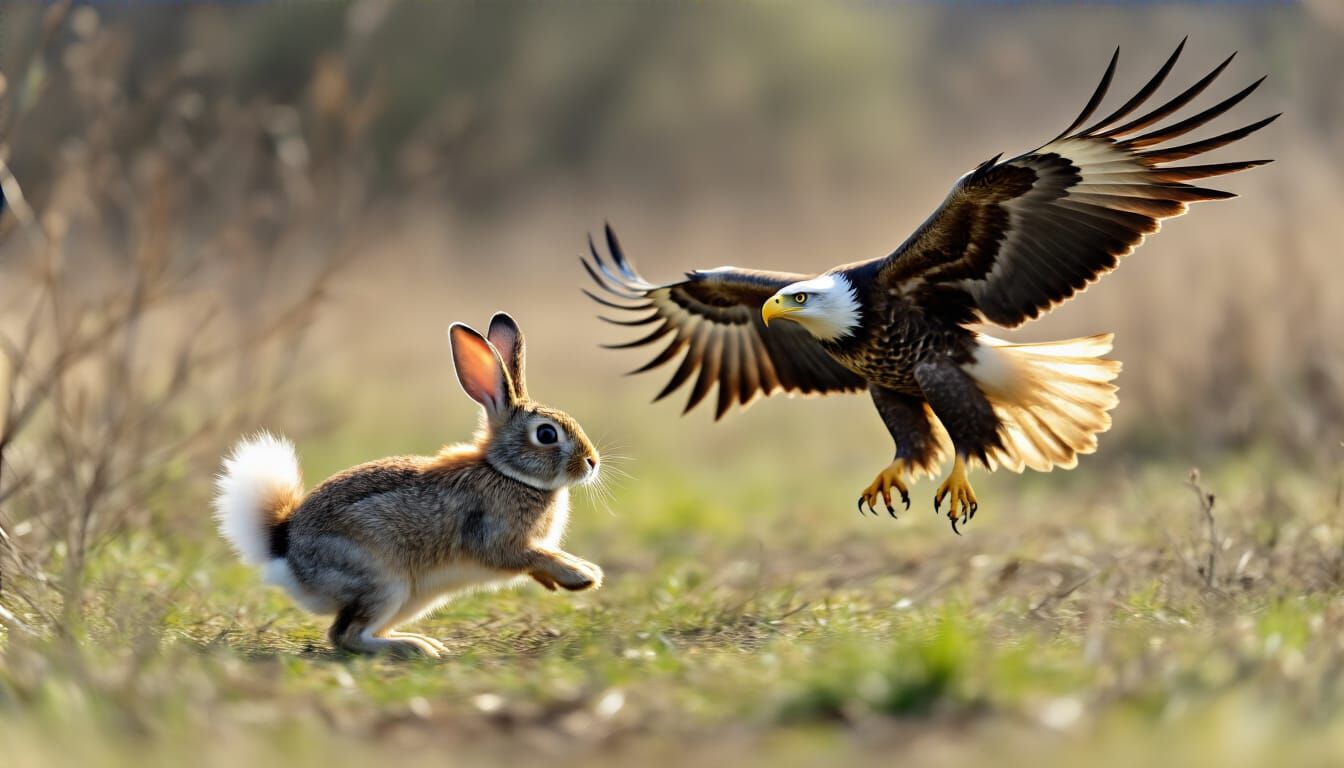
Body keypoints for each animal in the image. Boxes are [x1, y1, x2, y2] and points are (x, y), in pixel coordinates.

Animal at [212, 312, 604, 657]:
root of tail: (283, 548)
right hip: (384, 582)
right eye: (546, 434)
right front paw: (581, 574)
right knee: (345, 635)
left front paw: (568, 576)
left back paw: (419, 642)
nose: (591, 462)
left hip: (412, 597)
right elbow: (530, 555)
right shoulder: (496, 538)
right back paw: (415, 649)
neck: (506, 472)